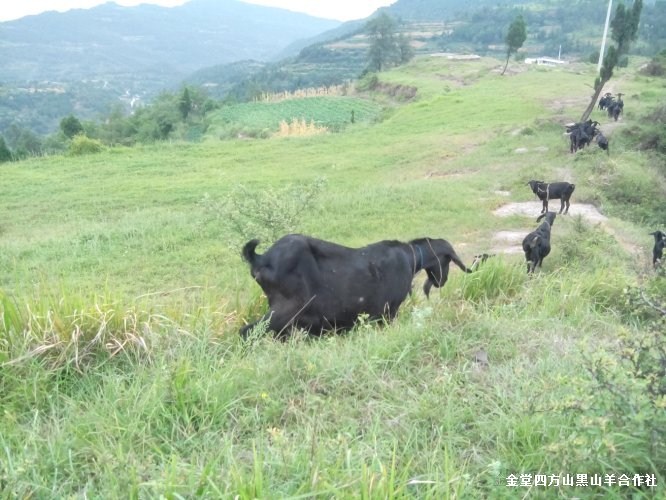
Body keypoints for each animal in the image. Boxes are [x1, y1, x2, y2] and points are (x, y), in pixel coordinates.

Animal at [240, 233, 472, 336]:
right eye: (448, 260)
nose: (441, 281)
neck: (410, 257)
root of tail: (260, 259)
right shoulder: (388, 312)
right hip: (286, 309)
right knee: (247, 331)